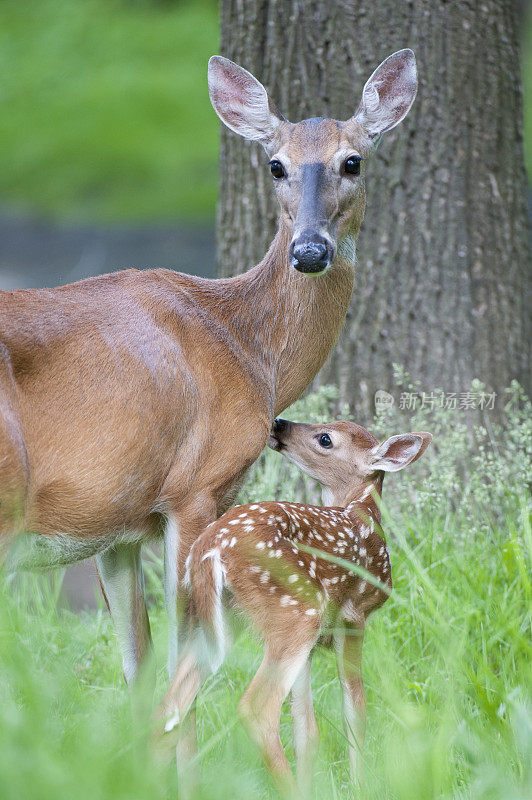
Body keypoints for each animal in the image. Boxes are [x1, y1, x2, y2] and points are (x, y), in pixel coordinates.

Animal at [0, 54, 416, 692]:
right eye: (275, 165)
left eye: (354, 160)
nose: (310, 251)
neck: (246, 348)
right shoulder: (195, 486)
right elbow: (182, 656)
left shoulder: (114, 520)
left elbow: (138, 666)